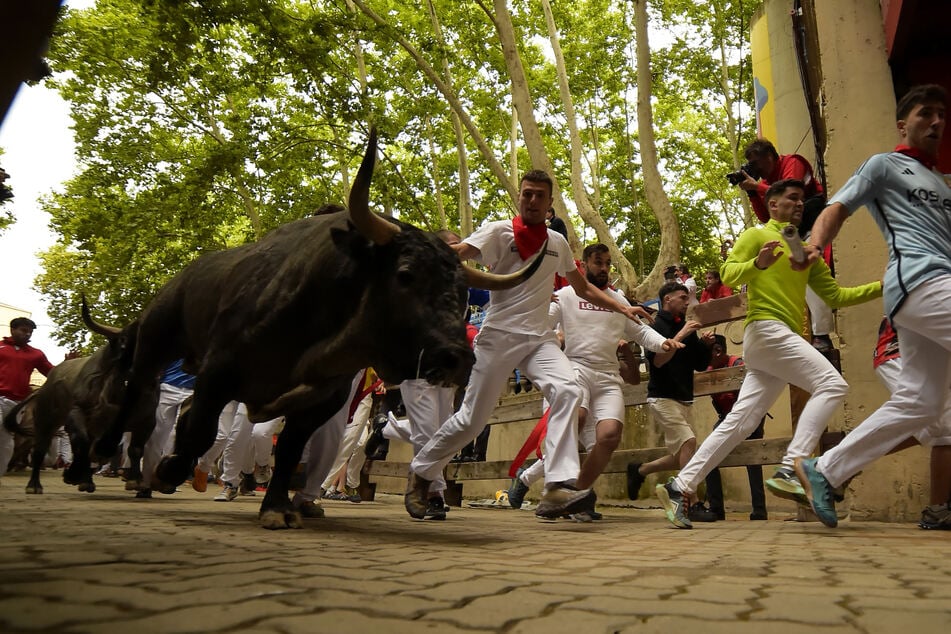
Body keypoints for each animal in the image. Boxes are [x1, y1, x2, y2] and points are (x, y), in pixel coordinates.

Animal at [1, 298, 137, 496]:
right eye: (127, 341)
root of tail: (44, 387)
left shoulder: (113, 421)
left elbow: (101, 447)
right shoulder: (76, 411)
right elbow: (82, 442)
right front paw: (72, 475)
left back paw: (85, 480)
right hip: (46, 421)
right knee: (39, 451)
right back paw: (34, 485)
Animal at [100, 126, 544, 524]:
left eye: (463, 292)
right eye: (405, 274)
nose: (457, 358)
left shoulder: (322, 398)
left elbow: (290, 449)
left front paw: (278, 507)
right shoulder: (218, 372)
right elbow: (202, 431)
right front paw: (169, 471)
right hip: (155, 343)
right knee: (140, 399)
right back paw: (114, 461)